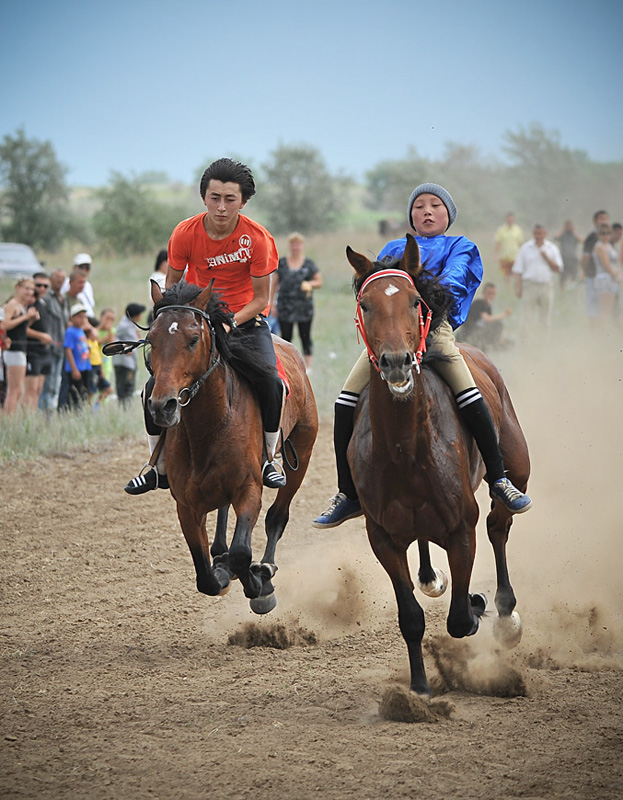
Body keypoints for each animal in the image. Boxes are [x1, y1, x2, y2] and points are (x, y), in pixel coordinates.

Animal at [135, 280, 320, 612]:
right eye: (151, 340)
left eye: (193, 339)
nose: (162, 406)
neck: (209, 426)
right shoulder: (186, 506)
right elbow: (205, 577)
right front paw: (221, 572)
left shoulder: (249, 489)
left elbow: (242, 553)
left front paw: (259, 586)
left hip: (303, 449)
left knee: (277, 516)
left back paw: (266, 567)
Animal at [348, 234, 528, 696]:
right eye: (366, 304)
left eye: (415, 300)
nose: (395, 361)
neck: (405, 453)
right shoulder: (382, 538)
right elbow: (410, 617)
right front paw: (419, 689)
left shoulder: (462, 529)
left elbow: (461, 618)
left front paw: (478, 603)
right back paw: (432, 578)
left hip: (516, 469)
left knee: (500, 525)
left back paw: (505, 615)